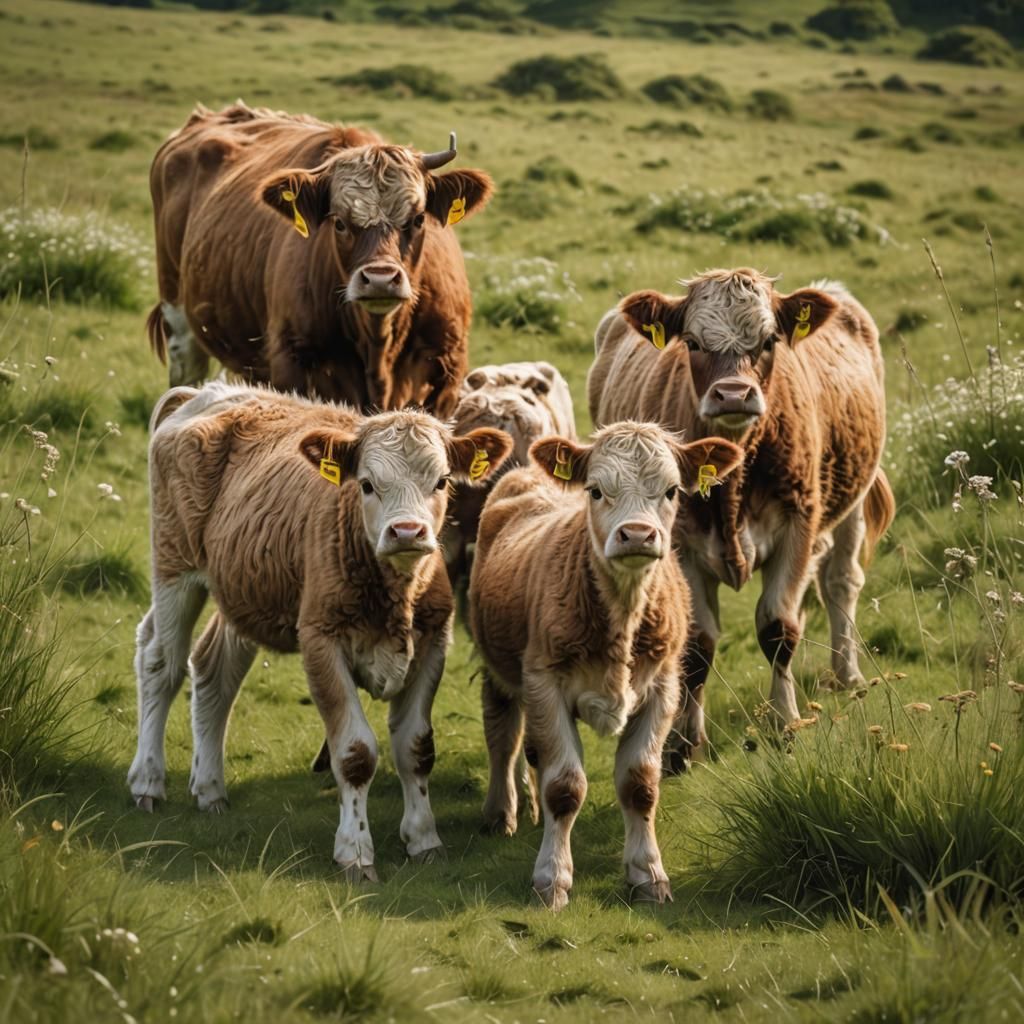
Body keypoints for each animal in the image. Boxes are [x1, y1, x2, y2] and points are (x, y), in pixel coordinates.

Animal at [127, 381, 512, 879]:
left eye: (442, 481)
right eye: (366, 484)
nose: (407, 531)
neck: (392, 595)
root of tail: (211, 392)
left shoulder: (432, 644)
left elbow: (416, 747)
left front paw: (424, 838)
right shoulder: (321, 643)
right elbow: (354, 752)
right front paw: (355, 852)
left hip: (242, 586)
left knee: (214, 669)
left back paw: (210, 788)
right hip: (175, 566)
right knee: (162, 661)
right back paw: (148, 781)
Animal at [147, 101, 493, 417]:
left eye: (419, 218)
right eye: (339, 222)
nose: (380, 280)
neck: (378, 347)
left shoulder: (445, 372)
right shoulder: (294, 362)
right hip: (178, 318)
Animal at [468, 422, 742, 909]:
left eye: (671, 490)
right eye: (596, 490)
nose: (636, 534)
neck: (623, 616)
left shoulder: (664, 689)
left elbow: (640, 784)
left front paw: (648, 874)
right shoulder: (544, 683)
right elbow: (564, 786)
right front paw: (552, 879)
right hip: (499, 667)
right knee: (502, 735)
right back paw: (501, 812)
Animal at [587, 268, 895, 772]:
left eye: (769, 341)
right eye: (693, 342)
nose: (733, 394)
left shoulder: (798, 525)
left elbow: (778, 628)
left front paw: (785, 724)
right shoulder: (679, 543)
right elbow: (698, 644)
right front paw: (681, 745)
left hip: (852, 498)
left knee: (841, 581)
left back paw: (846, 673)